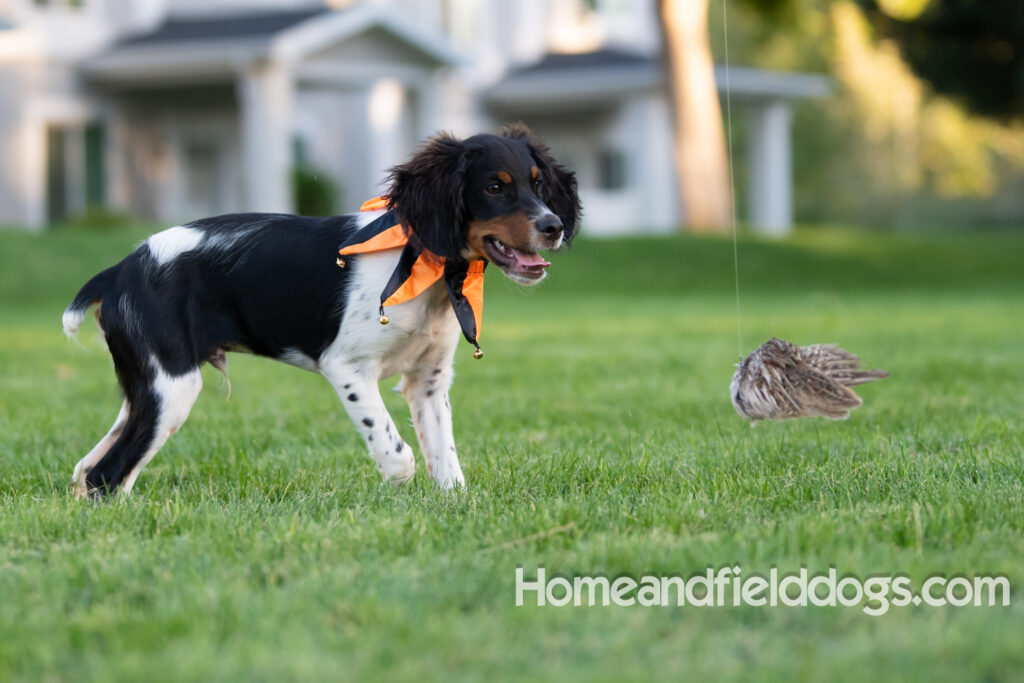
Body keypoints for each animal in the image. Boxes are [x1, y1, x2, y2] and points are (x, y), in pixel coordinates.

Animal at [61, 124, 577, 497]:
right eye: (494, 187)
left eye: (538, 186)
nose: (553, 227)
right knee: (106, 474)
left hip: (149, 389)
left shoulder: (428, 381)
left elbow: (446, 461)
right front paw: (396, 484)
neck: (423, 264)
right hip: (171, 388)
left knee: (89, 467)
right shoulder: (346, 367)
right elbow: (399, 452)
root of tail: (119, 270)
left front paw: (452, 501)